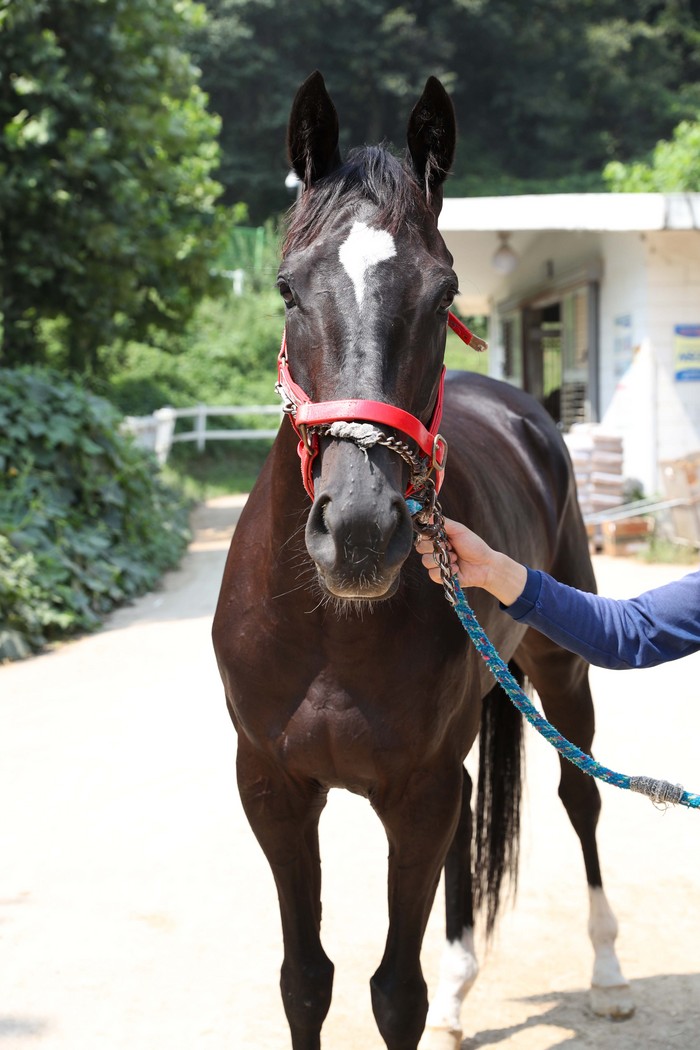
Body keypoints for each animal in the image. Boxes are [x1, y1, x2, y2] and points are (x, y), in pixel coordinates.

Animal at [212, 72, 633, 1050]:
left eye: (444, 295)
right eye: (287, 289)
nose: (361, 530)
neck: (327, 629)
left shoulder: (415, 791)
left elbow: (390, 992)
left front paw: (427, 995)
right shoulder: (274, 790)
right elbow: (306, 984)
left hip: (562, 670)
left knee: (582, 796)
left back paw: (604, 973)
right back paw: (461, 990)